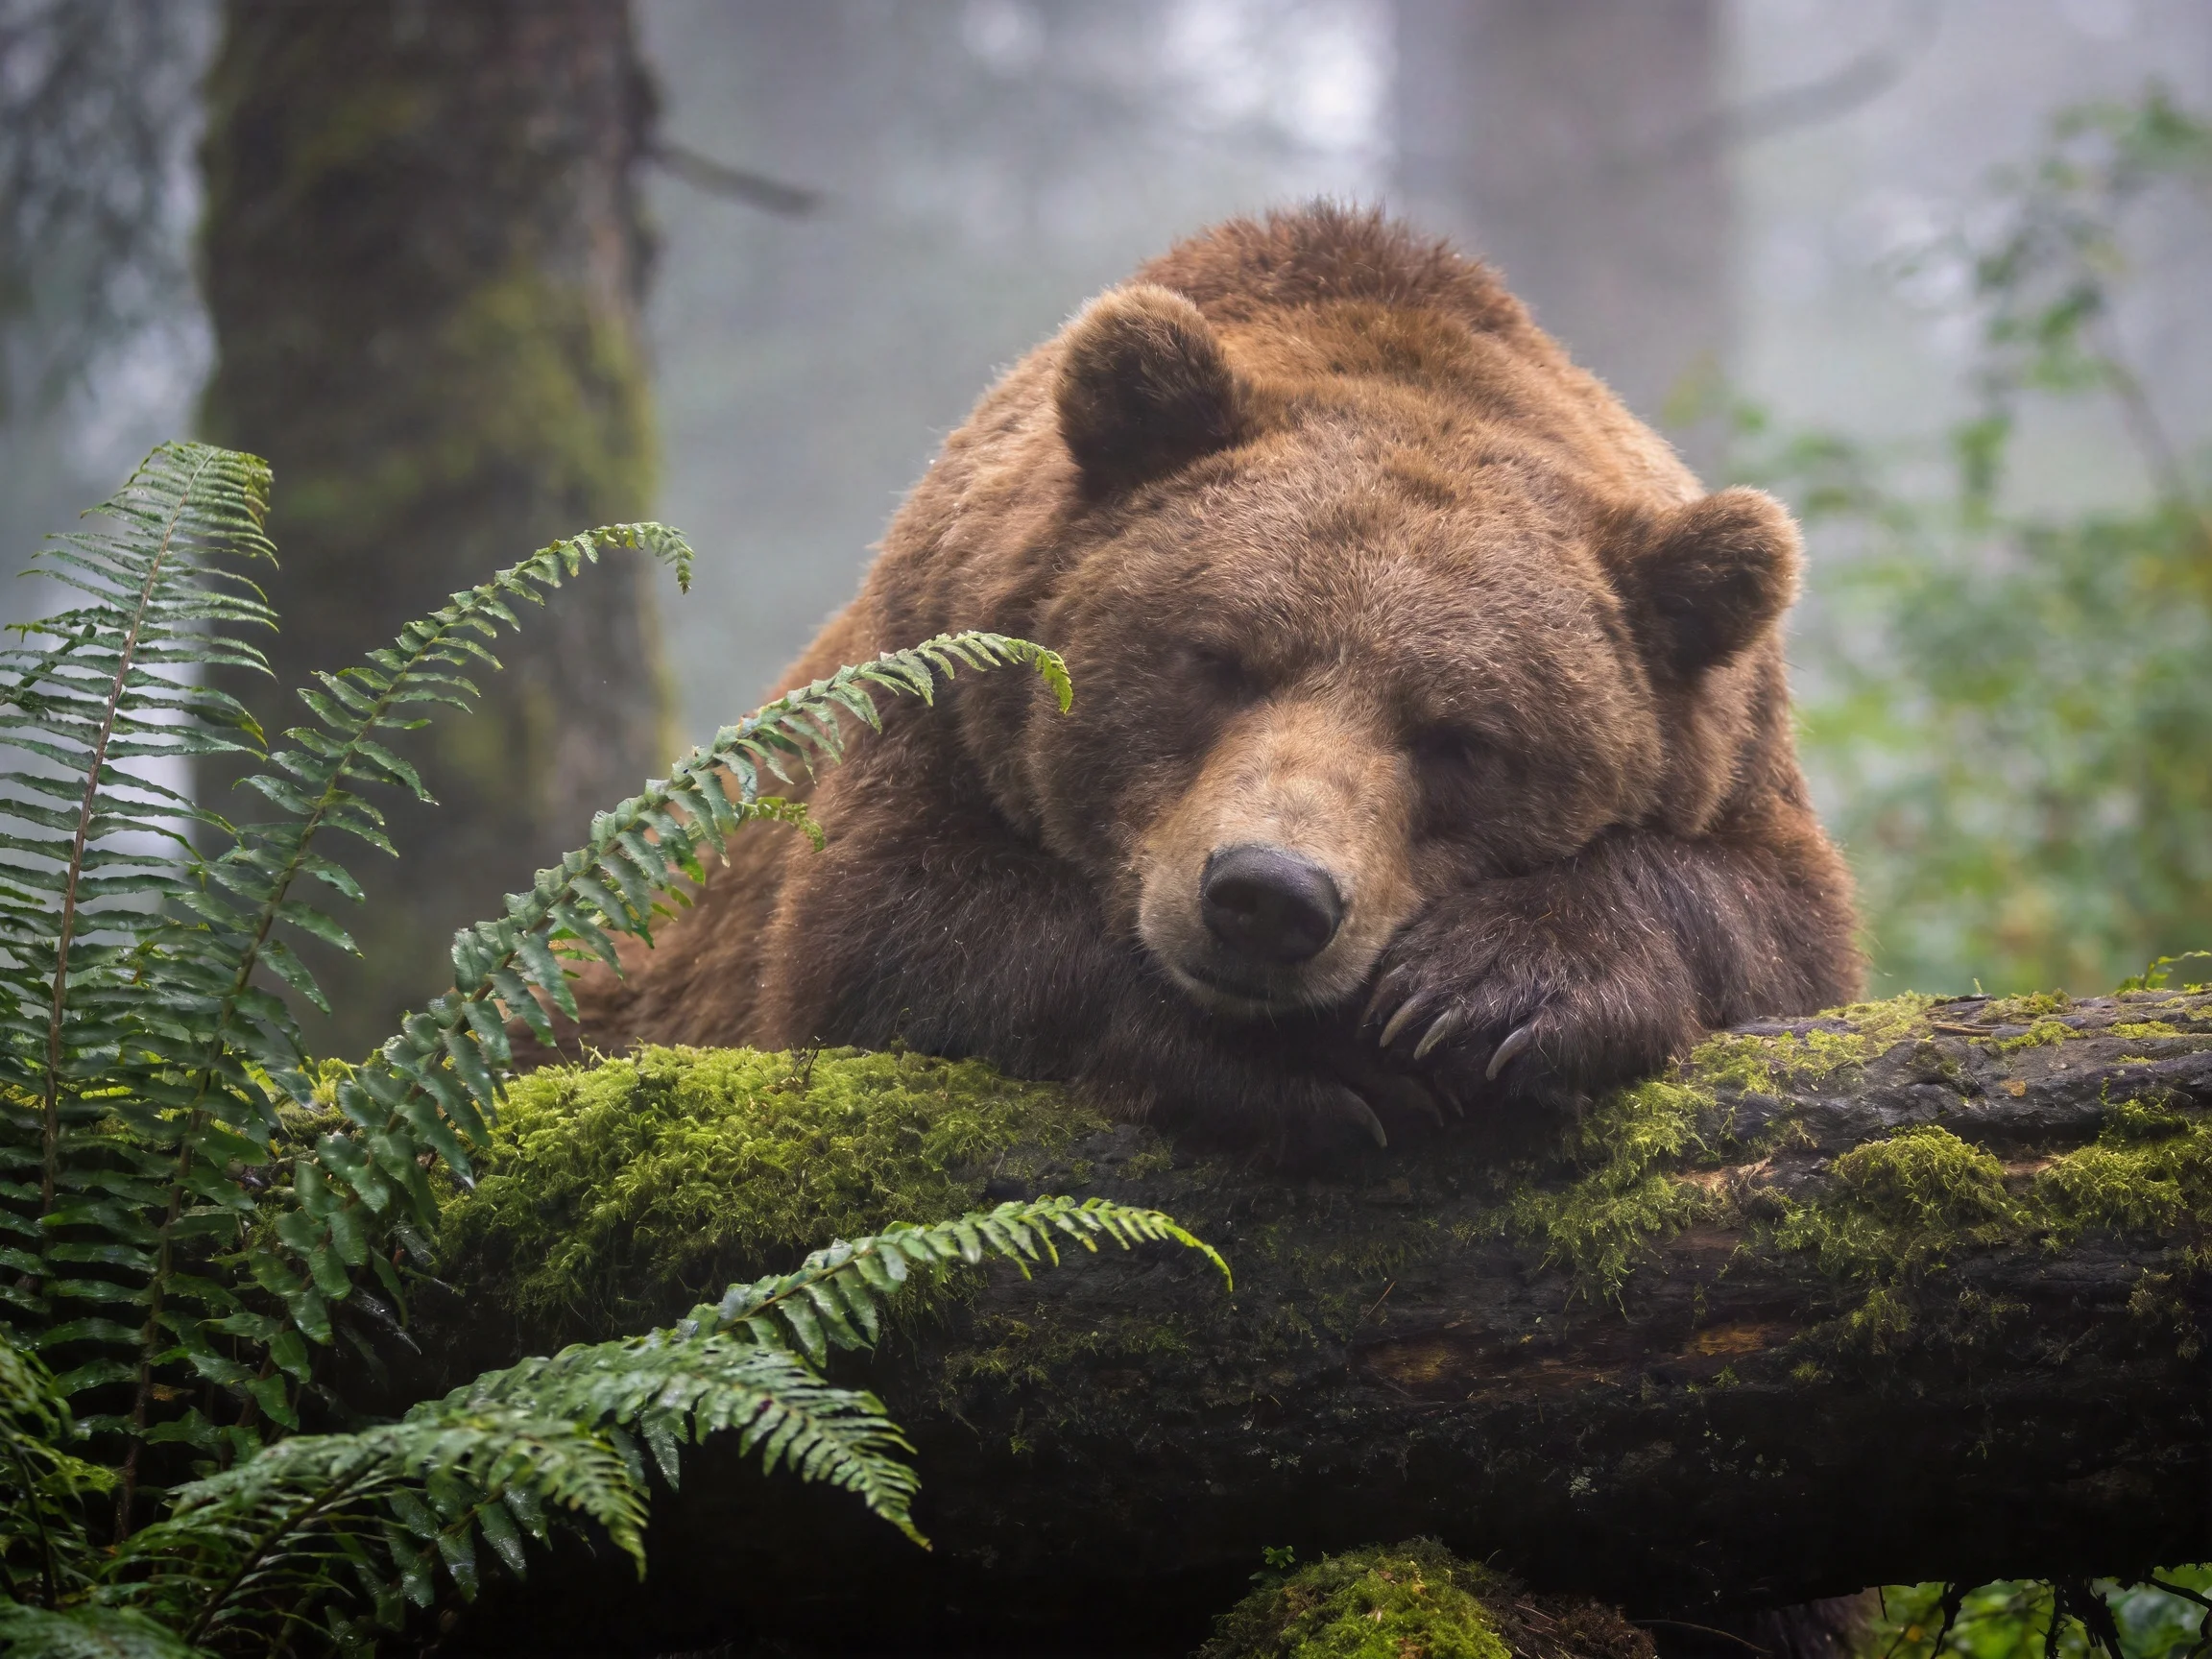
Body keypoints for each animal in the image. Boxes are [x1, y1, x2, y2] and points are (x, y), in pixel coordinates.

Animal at [562, 204, 1862, 1145]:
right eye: (1221, 659)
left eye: (1461, 737)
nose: (1269, 896)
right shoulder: (935, 698)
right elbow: (884, 930)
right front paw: (1332, 1066)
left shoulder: (1739, 768)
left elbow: (1777, 930)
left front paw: (1488, 988)